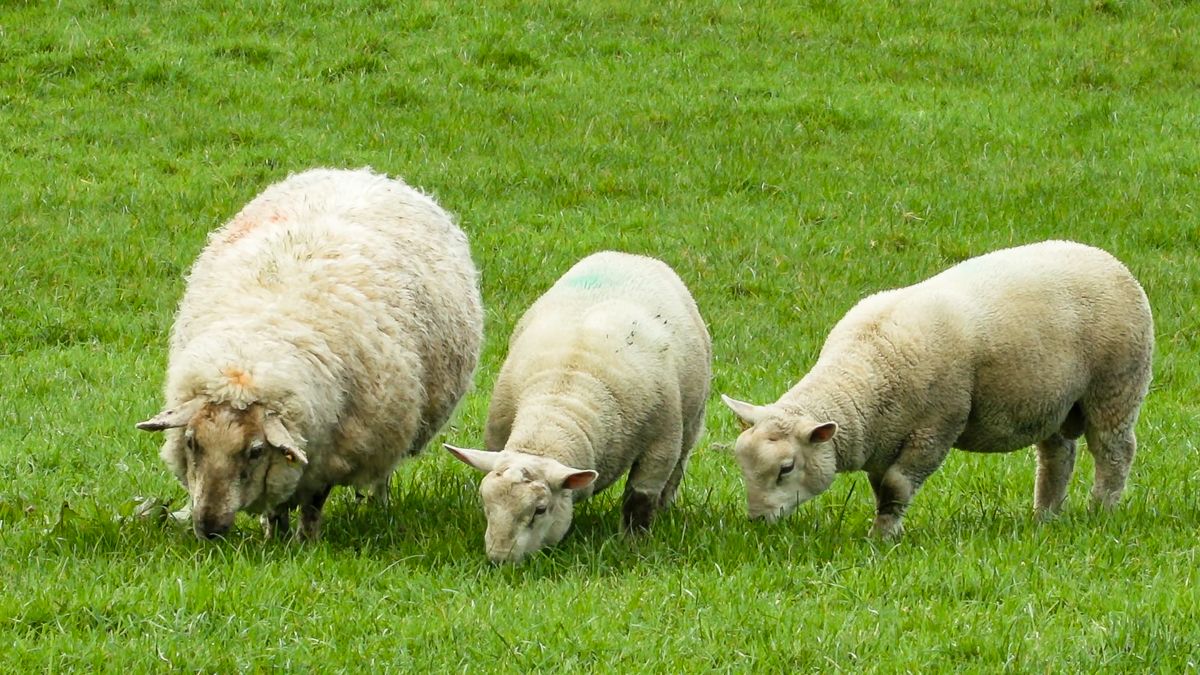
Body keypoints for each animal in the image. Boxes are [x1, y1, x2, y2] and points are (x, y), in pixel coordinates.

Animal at [137, 167, 483, 541]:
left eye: (256, 451)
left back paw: (380, 507)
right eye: (191, 442)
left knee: (383, 473)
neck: (258, 345)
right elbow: (277, 507)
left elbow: (313, 504)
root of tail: (361, 173)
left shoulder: (332, 452)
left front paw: (306, 542)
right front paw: (274, 537)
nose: (209, 529)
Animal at [445, 251, 712, 563]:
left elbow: (639, 501)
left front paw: (632, 545)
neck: (560, 400)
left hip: (691, 423)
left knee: (679, 465)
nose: (500, 559)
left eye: (540, 510)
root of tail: (629, 255)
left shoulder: (661, 444)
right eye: (485, 502)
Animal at [721, 240, 1153, 538]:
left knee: (1114, 451)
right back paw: (1044, 515)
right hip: (1052, 401)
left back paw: (1101, 510)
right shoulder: (883, 439)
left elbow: (896, 486)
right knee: (1056, 457)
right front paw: (886, 528)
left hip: (1116, 385)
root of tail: (1104, 257)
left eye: (786, 468)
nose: (756, 520)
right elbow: (883, 490)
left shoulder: (935, 426)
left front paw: (880, 539)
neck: (866, 371)